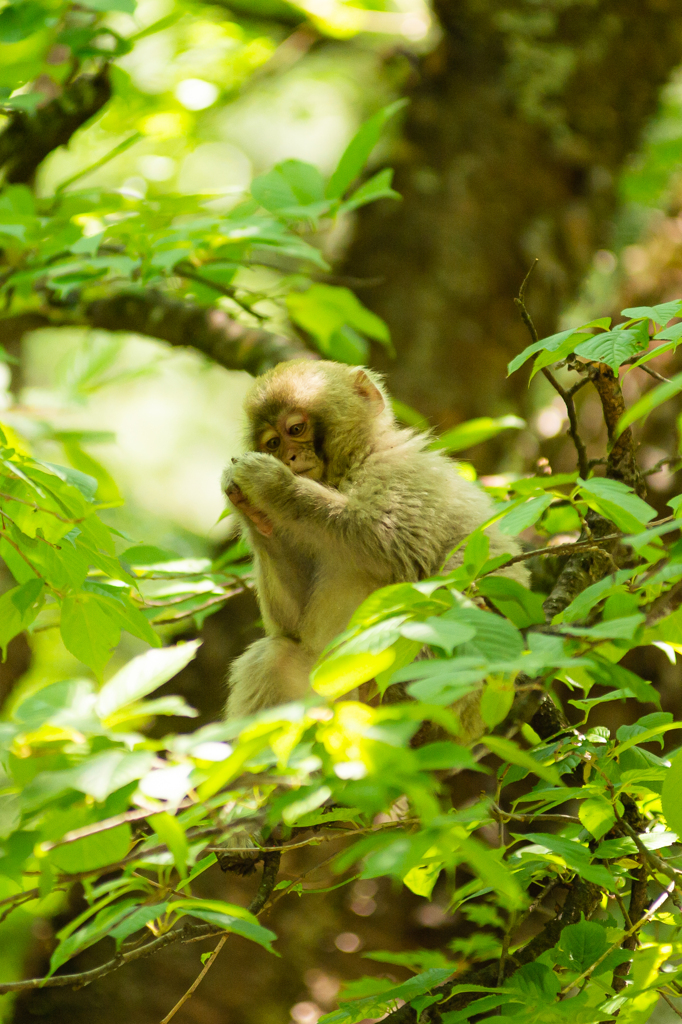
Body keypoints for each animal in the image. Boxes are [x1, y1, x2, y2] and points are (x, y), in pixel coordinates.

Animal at [220, 360, 528, 720]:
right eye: (272, 443)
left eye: (295, 429)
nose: (289, 458)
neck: (356, 461)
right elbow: (290, 627)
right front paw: (247, 506)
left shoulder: (400, 471)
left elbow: (393, 542)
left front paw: (270, 485)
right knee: (274, 656)